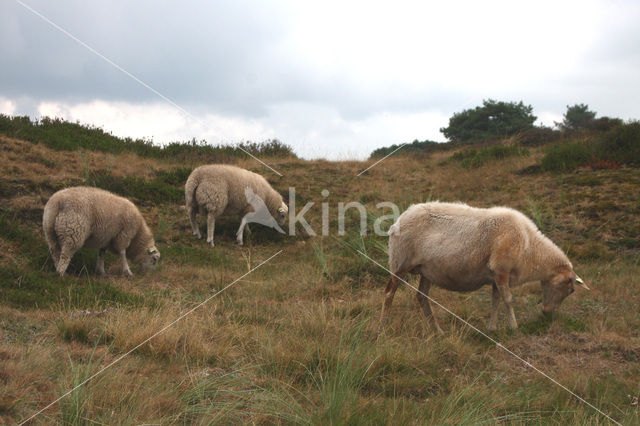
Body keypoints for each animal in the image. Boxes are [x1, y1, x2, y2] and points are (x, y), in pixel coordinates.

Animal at [380, 201, 592, 334]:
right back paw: (384, 327)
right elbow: (508, 299)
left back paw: (438, 331)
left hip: (426, 270)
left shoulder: (495, 276)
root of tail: (398, 220)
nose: (548, 314)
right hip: (400, 262)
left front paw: (492, 328)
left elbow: (495, 300)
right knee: (389, 293)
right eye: (570, 289)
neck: (530, 248)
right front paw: (514, 327)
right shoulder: (501, 269)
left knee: (422, 297)